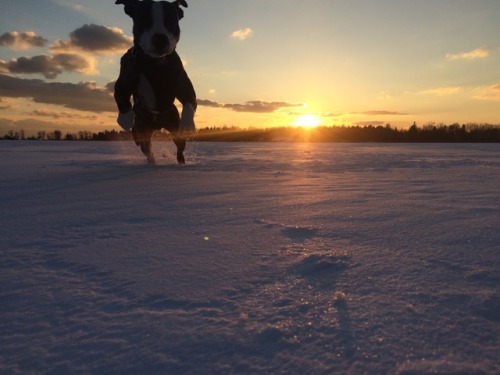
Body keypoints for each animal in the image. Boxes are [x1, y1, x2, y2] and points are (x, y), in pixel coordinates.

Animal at [114, 0, 196, 164]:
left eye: (171, 21)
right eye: (145, 19)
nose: (160, 38)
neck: (154, 64)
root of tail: (157, 126)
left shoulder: (183, 84)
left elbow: (189, 102)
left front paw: (188, 125)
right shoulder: (124, 79)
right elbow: (120, 95)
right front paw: (125, 118)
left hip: (173, 125)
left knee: (179, 147)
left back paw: (181, 163)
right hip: (141, 132)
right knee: (147, 149)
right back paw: (151, 161)